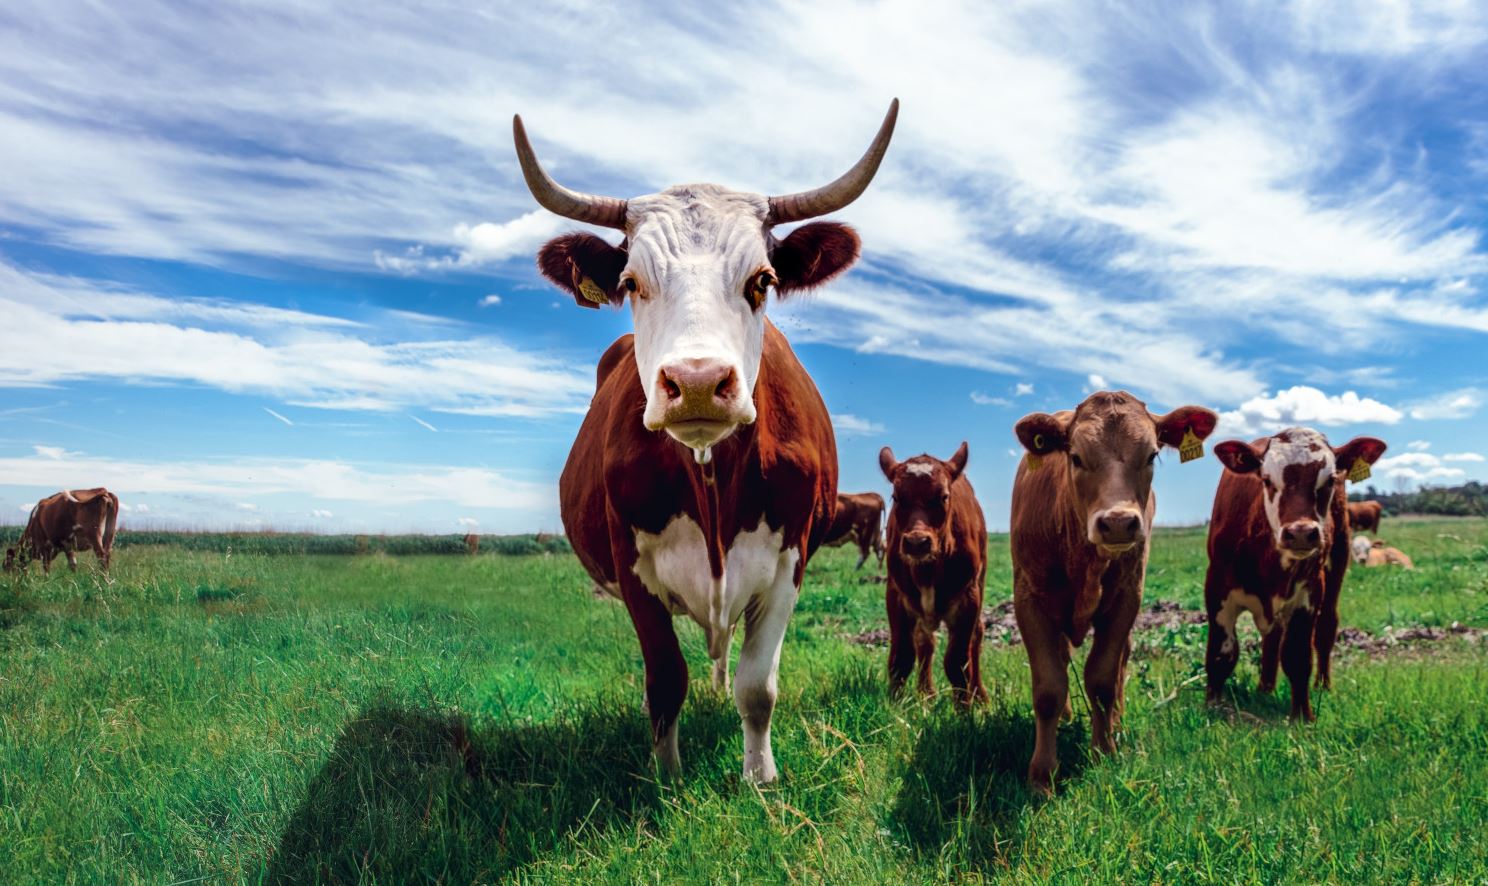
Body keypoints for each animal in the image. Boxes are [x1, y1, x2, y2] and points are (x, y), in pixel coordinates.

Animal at [518, 100, 898, 782]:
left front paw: (760, 776)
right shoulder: (631, 565)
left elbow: (758, 685)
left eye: (763, 280)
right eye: (632, 283)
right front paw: (667, 776)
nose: (696, 382)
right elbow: (666, 679)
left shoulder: (790, 561)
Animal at [878, 443, 987, 706]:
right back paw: (926, 693)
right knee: (925, 642)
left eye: (943, 496)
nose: (917, 542)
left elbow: (958, 663)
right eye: (897, 497)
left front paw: (964, 710)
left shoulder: (968, 598)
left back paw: (979, 695)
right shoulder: (896, 595)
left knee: (976, 637)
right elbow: (901, 658)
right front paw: (895, 706)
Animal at [1011, 392, 1218, 791]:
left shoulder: (1126, 597)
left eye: (1151, 455)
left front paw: (1104, 751)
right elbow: (1048, 687)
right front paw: (1042, 774)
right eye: (1075, 456)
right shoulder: (1029, 599)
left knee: (1121, 662)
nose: (1119, 522)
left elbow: (1103, 678)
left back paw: (1116, 722)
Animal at [1206, 428, 1387, 720]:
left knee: (1325, 628)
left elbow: (1298, 656)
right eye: (1267, 479)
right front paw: (1213, 707)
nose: (1301, 532)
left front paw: (1302, 716)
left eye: (1330, 480)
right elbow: (1222, 654)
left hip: (1338, 561)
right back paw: (1265, 688)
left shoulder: (1308, 592)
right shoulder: (1217, 587)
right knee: (1272, 638)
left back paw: (1322, 685)